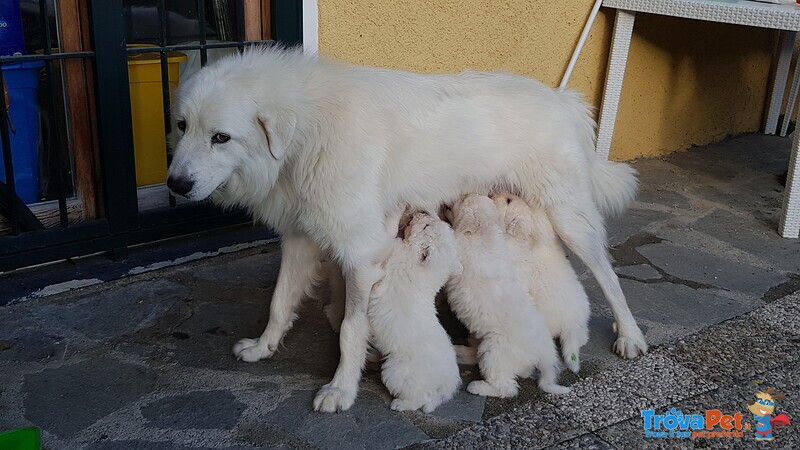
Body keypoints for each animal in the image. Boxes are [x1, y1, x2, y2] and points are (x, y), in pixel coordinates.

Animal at [368, 211, 462, 412]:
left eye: (426, 226)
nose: (422, 212)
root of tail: (444, 387)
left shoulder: (391, 253)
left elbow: (390, 233)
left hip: (396, 371)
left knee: (419, 398)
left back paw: (400, 404)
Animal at [444, 193, 568, 398]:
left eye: (462, 201)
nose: (449, 201)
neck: (483, 234)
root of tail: (545, 354)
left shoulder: (460, 253)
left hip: (496, 351)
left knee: (507, 387)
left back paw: (478, 387)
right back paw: (459, 351)